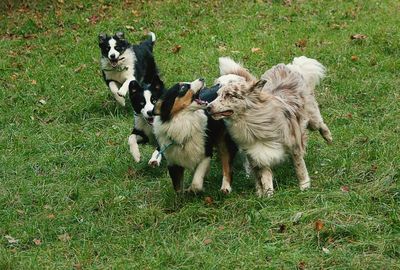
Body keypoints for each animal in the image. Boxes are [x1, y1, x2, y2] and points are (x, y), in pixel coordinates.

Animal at [206, 56, 332, 196]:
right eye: (217, 94)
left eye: (229, 95)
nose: (208, 107)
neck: (251, 124)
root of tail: (287, 66)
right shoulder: (259, 153)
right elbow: (265, 178)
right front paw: (267, 195)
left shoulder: (294, 146)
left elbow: (300, 168)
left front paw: (304, 187)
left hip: (312, 117)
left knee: (321, 125)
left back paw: (329, 139)